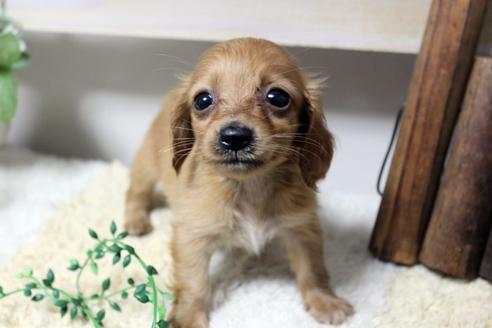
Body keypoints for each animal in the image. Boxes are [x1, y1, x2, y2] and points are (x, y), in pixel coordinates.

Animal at [123, 37, 354, 326]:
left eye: (278, 97)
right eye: (202, 100)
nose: (234, 137)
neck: (248, 187)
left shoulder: (302, 228)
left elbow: (312, 269)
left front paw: (324, 301)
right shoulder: (192, 237)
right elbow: (194, 281)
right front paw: (188, 317)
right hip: (146, 165)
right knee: (135, 191)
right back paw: (135, 220)